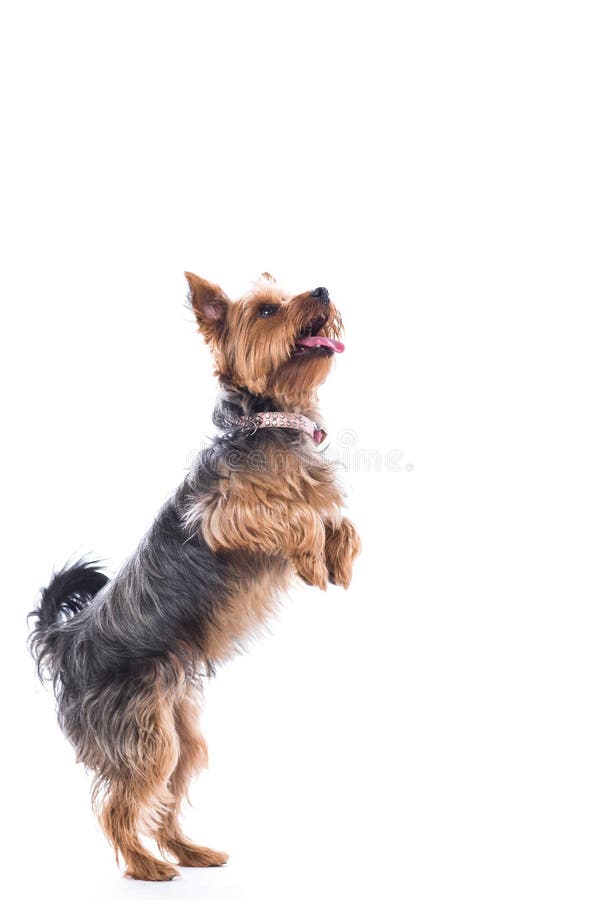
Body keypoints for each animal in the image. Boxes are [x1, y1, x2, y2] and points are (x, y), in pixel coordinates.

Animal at [28, 270, 360, 884]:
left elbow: (338, 519)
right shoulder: (222, 514)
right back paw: (146, 867)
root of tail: (64, 638)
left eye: (295, 293)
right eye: (268, 310)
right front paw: (310, 556)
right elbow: (292, 517)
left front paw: (338, 559)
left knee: (164, 798)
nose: (323, 291)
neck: (269, 420)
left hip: (179, 734)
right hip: (143, 732)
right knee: (120, 805)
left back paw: (189, 852)